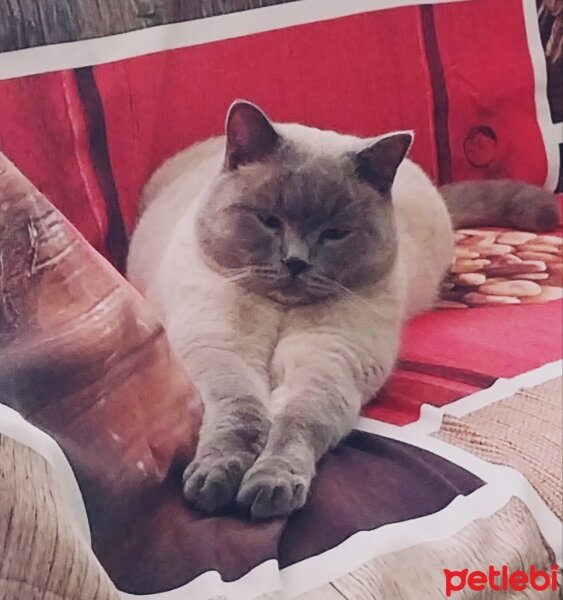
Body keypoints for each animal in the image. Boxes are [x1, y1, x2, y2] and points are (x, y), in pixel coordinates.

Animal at [128, 99, 560, 520]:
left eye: (335, 233)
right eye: (268, 221)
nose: (296, 262)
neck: (282, 314)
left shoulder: (329, 366)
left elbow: (296, 423)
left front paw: (271, 487)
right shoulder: (221, 350)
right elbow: (241, 417)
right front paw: (215, 481)